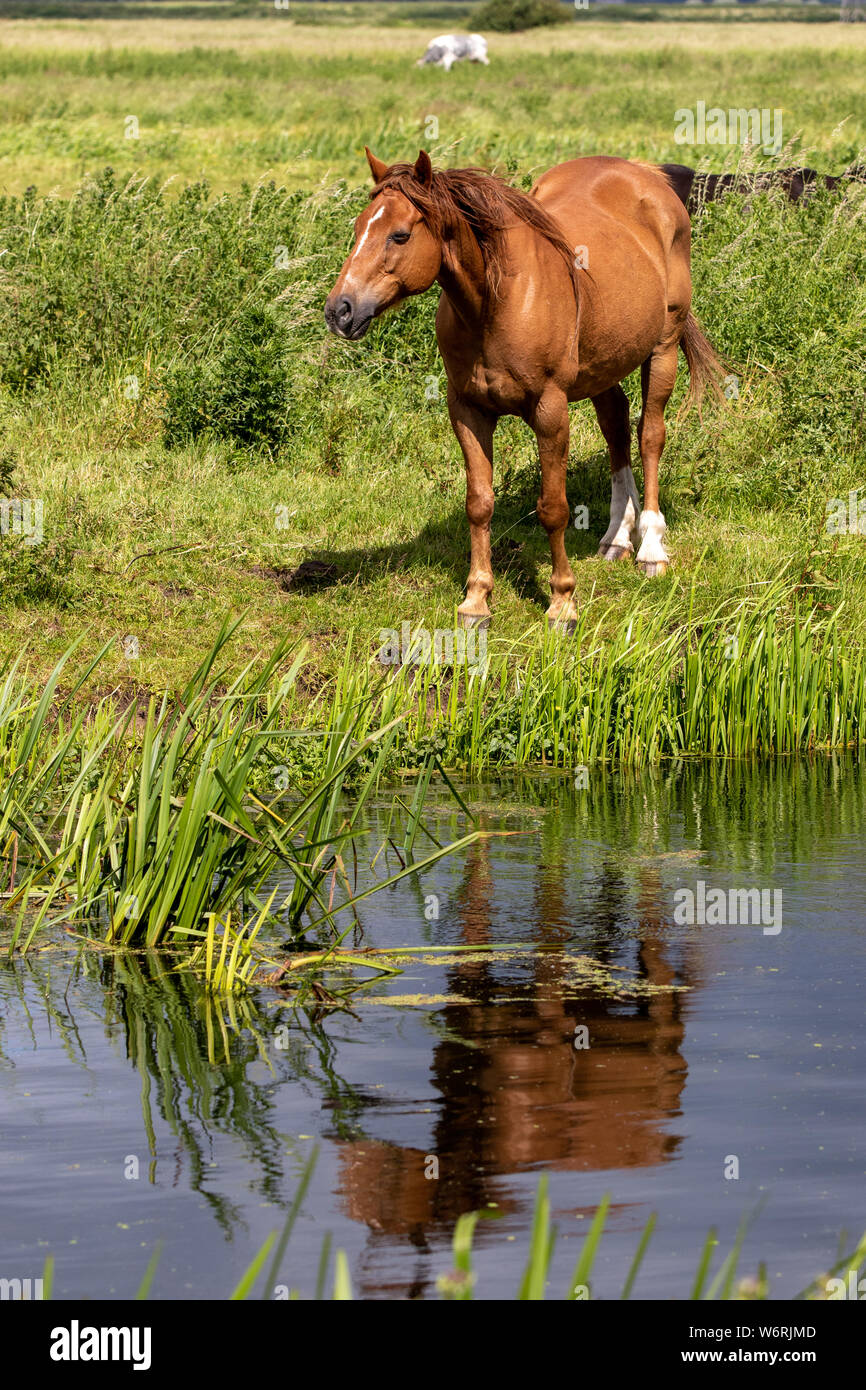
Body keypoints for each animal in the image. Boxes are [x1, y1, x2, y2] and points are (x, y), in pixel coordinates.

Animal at [324, 149, 724, 631]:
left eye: (399, 235)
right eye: (358, 228)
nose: (339, 311)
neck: (497, 303)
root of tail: (646, 175)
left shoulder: (550, 411)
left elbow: (553, 508)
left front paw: (562, 602)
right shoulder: (468, 411)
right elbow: (479, 503)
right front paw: (476, 599)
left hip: (663, 348)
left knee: (650, 436)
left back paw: (649, 548)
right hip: (604, 363)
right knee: (617, 428)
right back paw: (616, 537)